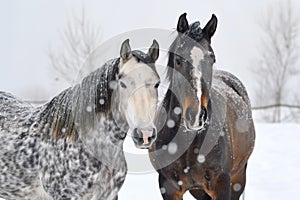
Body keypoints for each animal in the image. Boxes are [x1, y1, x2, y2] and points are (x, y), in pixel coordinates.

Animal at [149, 13, 254, 199]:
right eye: (178, 60)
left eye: (212, 58)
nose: (197, 115)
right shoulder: (168, 187)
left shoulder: (222, 183)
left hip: (238, 178)